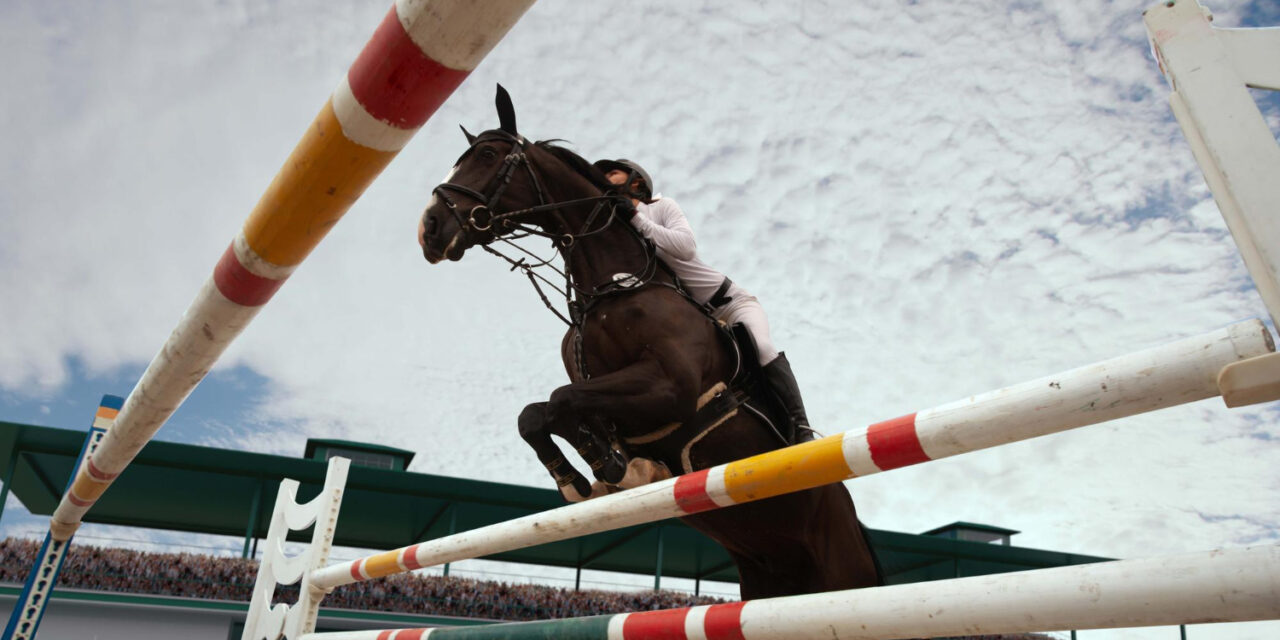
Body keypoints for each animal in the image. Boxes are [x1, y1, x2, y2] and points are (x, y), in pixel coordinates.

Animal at [419, 87, 880, 601]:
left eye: (486, 156)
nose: (429, 229)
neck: (612, 289)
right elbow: (539, 414)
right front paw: (589, 476)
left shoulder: (670, 386)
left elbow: (561, 401)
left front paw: (612, 466)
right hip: (766, 583)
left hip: (841, 574)